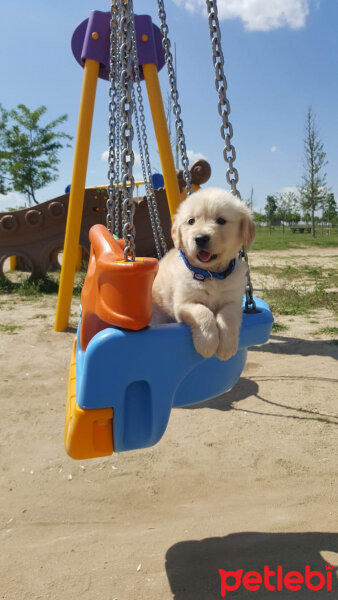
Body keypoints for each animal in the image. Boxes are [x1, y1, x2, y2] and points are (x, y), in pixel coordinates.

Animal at [152, 186, 255, 360]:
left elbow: (228, 316)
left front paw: (226, 347)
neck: (211, 274)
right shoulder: (183, 303)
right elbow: (203, 312)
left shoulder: (233, 301)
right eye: (191, 221)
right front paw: (207, 343)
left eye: (221, 220)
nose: (200, 238)